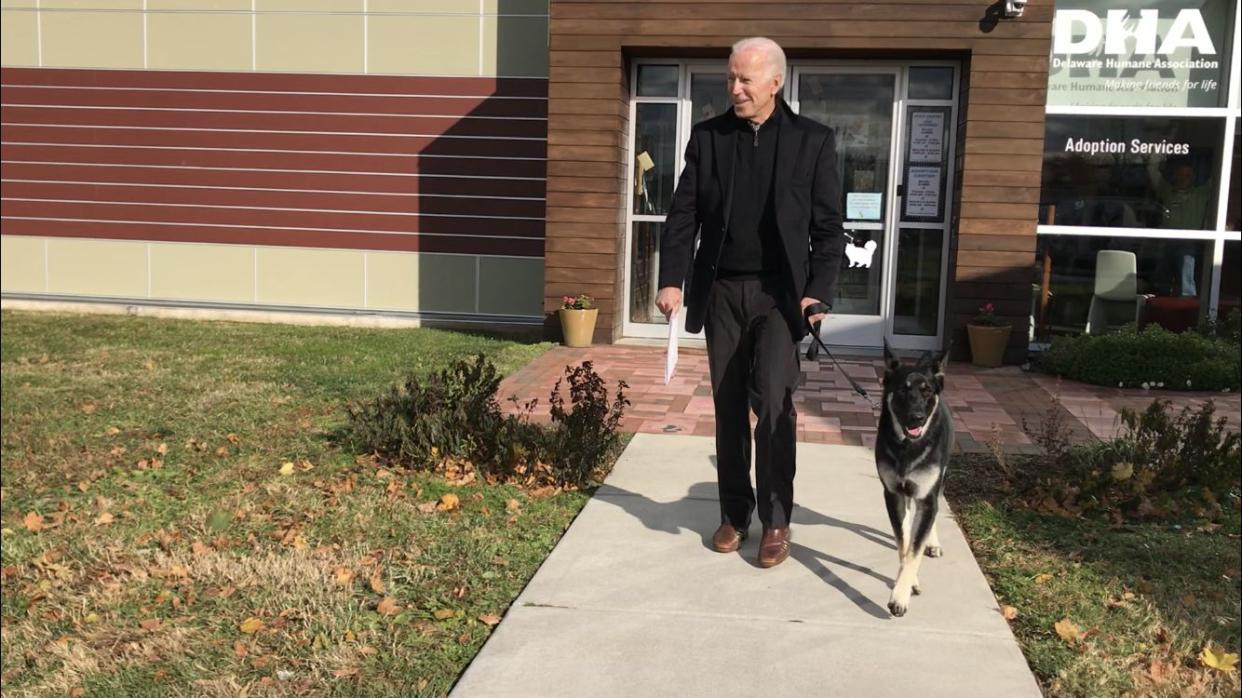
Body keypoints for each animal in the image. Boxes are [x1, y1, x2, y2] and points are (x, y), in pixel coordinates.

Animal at [879, 342, 953, 613]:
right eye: (903, 389)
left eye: (926, 391)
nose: (917, 417)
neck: (907, 447)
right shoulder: (893, 494)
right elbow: (904, 544)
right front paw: (908, 582)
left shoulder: (926, 495)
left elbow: (914, 550)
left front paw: (900, 596)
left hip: (938, 481)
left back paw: (932, 542)